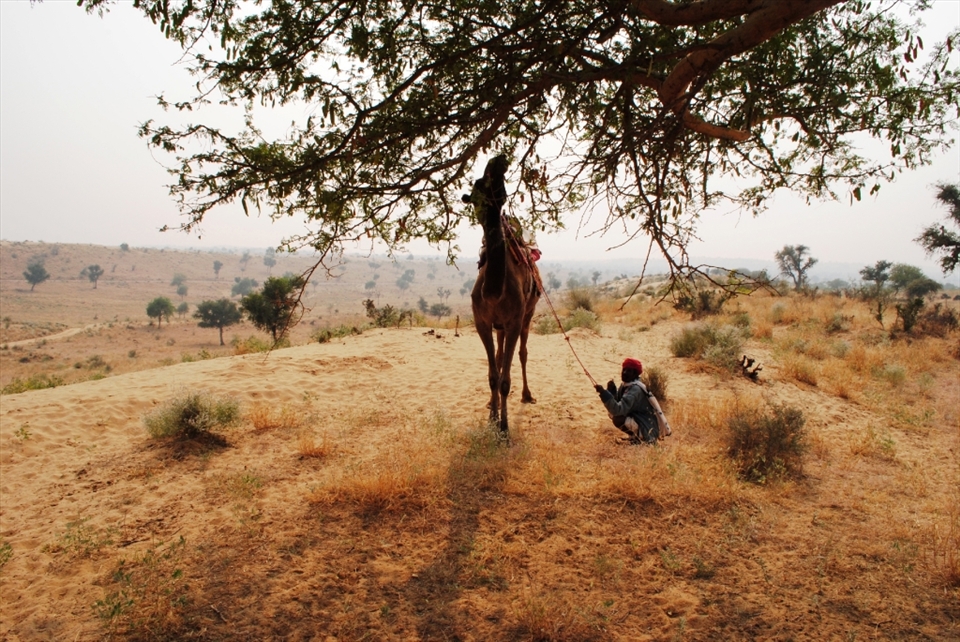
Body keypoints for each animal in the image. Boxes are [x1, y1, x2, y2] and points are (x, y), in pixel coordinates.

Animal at [464, 155, 541, 434]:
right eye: (477, 188)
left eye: (501, 189)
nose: (497, 161)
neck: (493, 292)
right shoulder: (482, 322)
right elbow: (492, 376)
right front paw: (492, 418)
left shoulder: (514, 321)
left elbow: (505, 380)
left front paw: (504, 427)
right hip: (500, 327)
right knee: (498, 356)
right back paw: (491, 403)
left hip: (528, 314)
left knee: (523, 352)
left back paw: (527, 394)